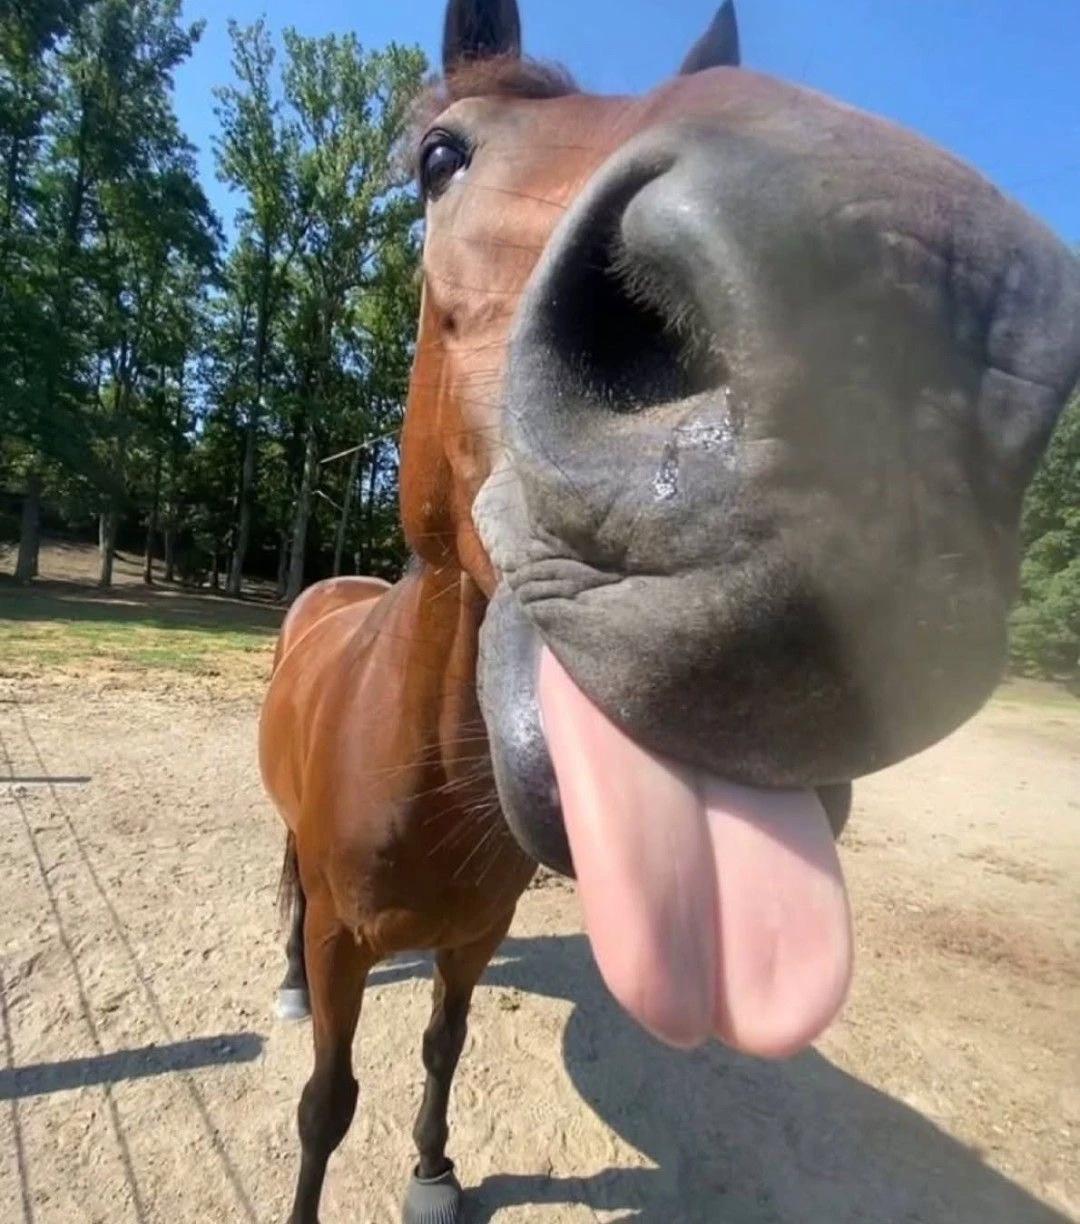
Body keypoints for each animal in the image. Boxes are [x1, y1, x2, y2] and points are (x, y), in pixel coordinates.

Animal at [258, 3, 1080, 1222]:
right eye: (439, 159)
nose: (896, 347)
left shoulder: (474, 938)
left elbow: (445, 1049)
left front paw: (436, 1170)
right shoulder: (345, 944)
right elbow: (326, 1103)